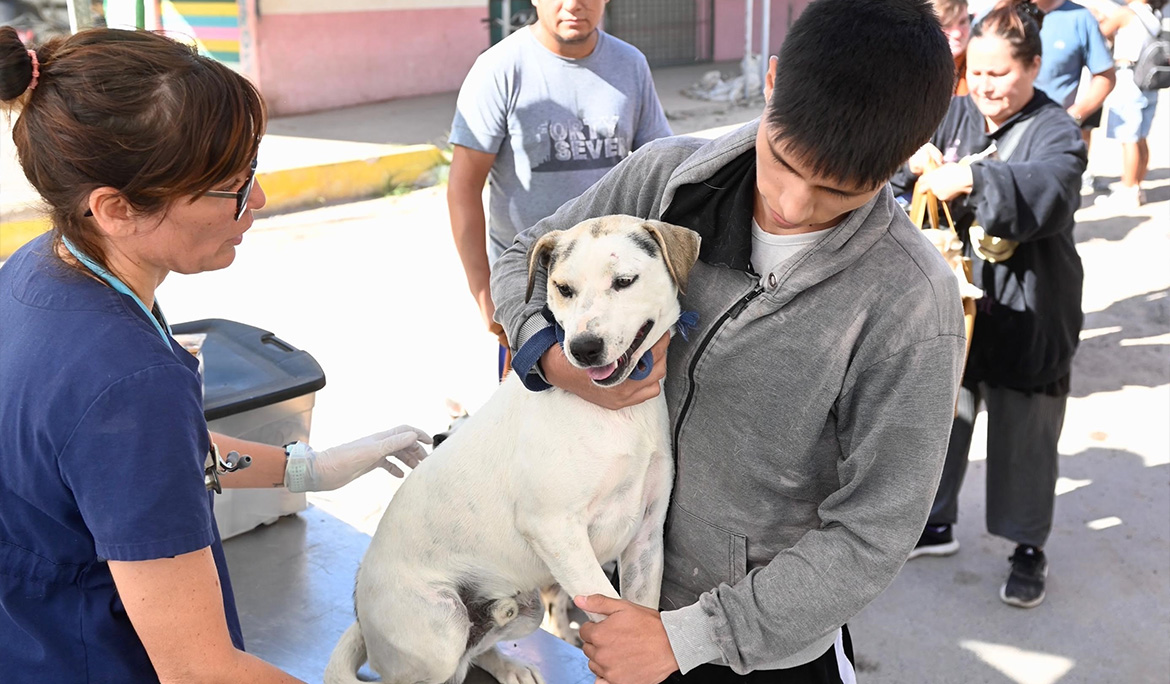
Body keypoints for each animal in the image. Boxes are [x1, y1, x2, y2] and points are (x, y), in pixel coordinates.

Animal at [324, 215, 700, 684]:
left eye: (624, 281)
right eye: (563, 288)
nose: (583, 349)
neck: (613, 413)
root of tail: (360, 613)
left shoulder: (646, 537)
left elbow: (634, 611)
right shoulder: (555, 529)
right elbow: (604, 607)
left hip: (528, 605)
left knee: (477, 648)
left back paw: (508, 660)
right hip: (441, 628)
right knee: (445, 666)